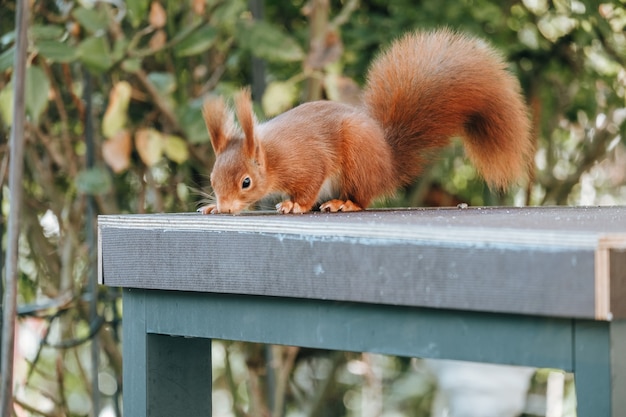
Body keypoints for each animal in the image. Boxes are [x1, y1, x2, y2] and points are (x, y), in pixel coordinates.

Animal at [199, 28, 532, 214]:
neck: (271, 156)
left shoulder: (307, 162)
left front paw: (296, 204)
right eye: (213, 179)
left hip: (358, 159)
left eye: (246, 182)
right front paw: (213, 206)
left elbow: (309, 184)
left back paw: (343, 203)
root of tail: (387, 164)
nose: (226, 206)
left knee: (362, 197)